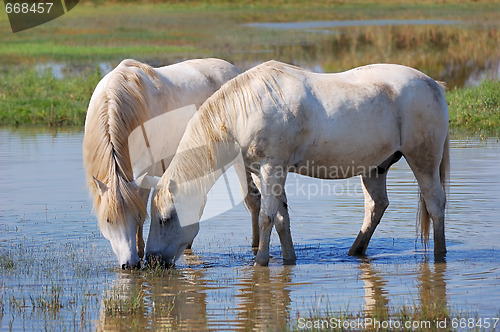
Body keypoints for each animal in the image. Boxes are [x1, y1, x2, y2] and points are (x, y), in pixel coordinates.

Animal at [82, 58, 244, 268]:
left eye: (136, 216)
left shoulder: (143, 173)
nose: (129, 264)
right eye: (108, 220)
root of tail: (234, 69)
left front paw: (140, 252)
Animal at [148, 60, 450, 268]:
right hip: (376, 168)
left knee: (435, 204)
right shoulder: (266, 171)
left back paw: (439, 255)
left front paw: (260, 262)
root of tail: (433, 84)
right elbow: (282, 218)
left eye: (166, 219)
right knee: (376, 206)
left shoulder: (272, 168)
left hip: (423, 159)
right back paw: (355, 252)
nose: (152, 260)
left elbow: (266, 216)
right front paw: (289, 260)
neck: (241, 113)